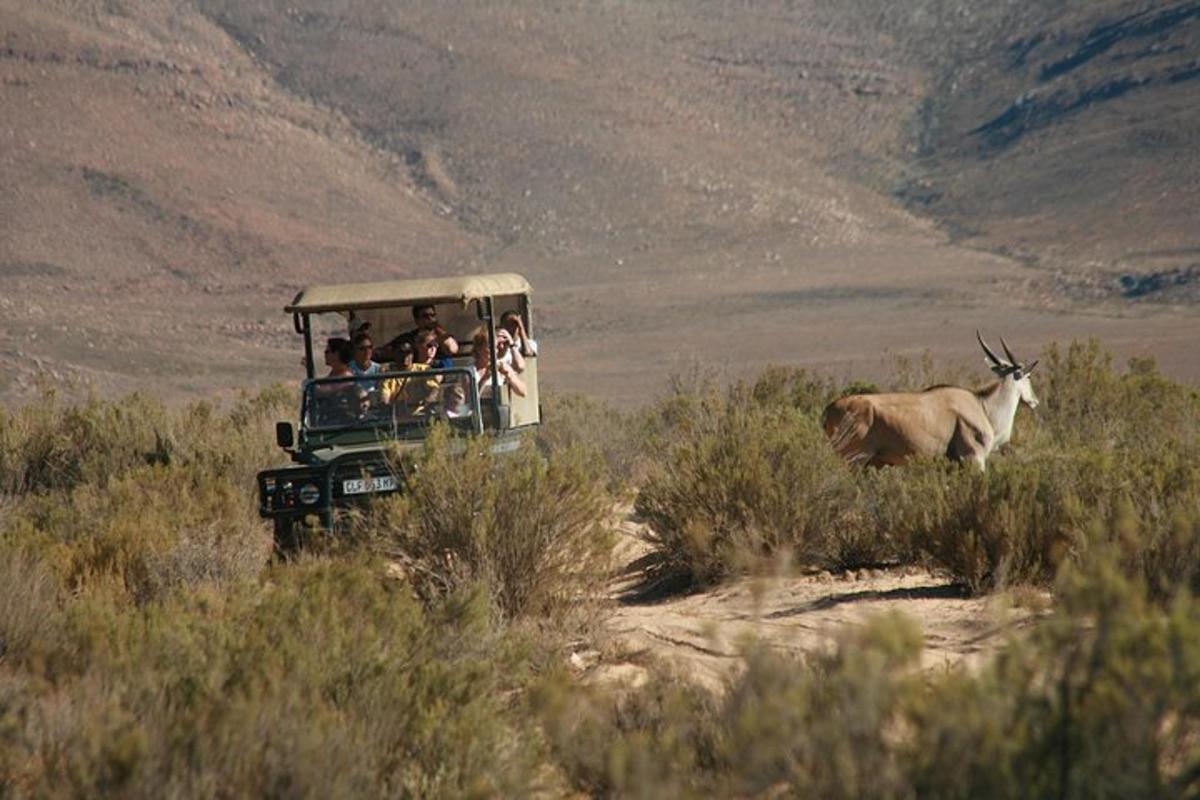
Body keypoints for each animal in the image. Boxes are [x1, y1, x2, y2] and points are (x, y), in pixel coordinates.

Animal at [825, 331, 1041, 470]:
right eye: (1029, 376)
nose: (1035, 401)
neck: (982, 406)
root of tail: (829, 409)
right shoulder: (973, 458)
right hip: (855, 460)